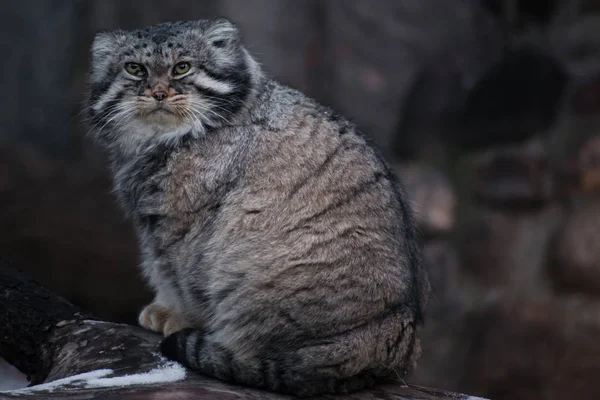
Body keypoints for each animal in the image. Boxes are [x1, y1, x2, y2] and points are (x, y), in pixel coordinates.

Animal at [85, 18, 432, 396]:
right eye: (135, 69)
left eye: (182, 67)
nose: (158, 93)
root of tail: (392, 341)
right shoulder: (155, 223)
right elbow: (160, 267)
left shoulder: (186, 223)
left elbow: (181, 278)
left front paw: (176, 316)